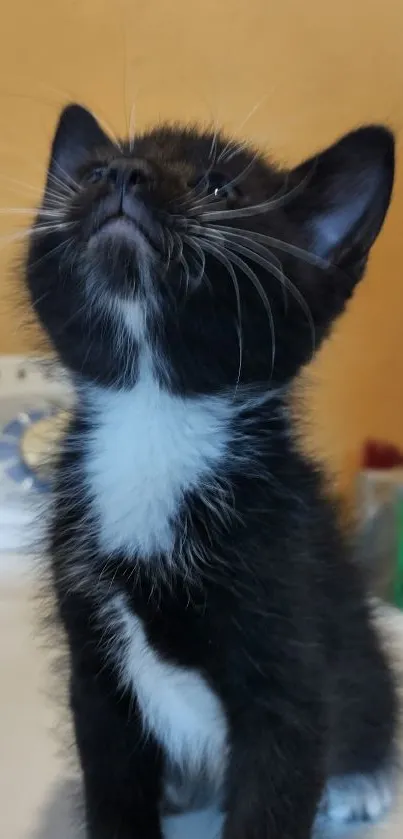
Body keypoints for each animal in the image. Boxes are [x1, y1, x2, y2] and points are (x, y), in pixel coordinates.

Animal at [26, 106, 398, 839]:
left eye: (219, 188)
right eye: (89, 171)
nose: (121, 173)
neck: (153, 419)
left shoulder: (290, 632)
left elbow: (277, 786)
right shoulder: (94, 669)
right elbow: (111, 778)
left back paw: (361, 781)